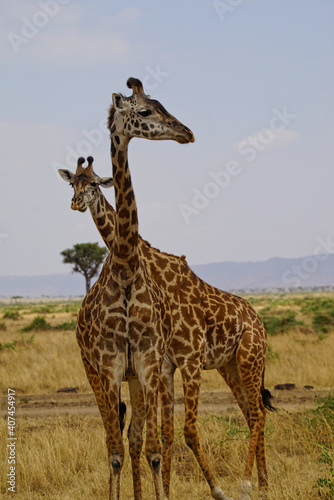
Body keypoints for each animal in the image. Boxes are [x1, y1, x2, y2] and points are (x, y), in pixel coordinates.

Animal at [59, 75, 274, 500]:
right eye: (144, 110)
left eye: (92, 183)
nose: (186, 132)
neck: (127, 267)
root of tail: (257, 319)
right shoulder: (153, 366)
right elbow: (155, 438)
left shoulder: (169, 363)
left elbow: (170, 437)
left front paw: (215, 490)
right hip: (219, 365)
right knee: (246, 413)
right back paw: (259, 483)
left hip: (246, 358)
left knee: (255, 414)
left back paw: (252, 484)